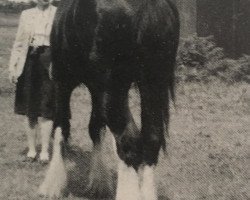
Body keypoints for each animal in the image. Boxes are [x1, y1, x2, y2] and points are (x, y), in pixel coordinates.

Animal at [38, 0, 180, 198]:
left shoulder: (63, 80)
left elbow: (61, 126)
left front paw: (52, 186)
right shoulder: (96, 87)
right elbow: (95, 127)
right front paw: (99, 183)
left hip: (111, 88)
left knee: (128, 141)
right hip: (151, 84)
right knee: (152, 138)